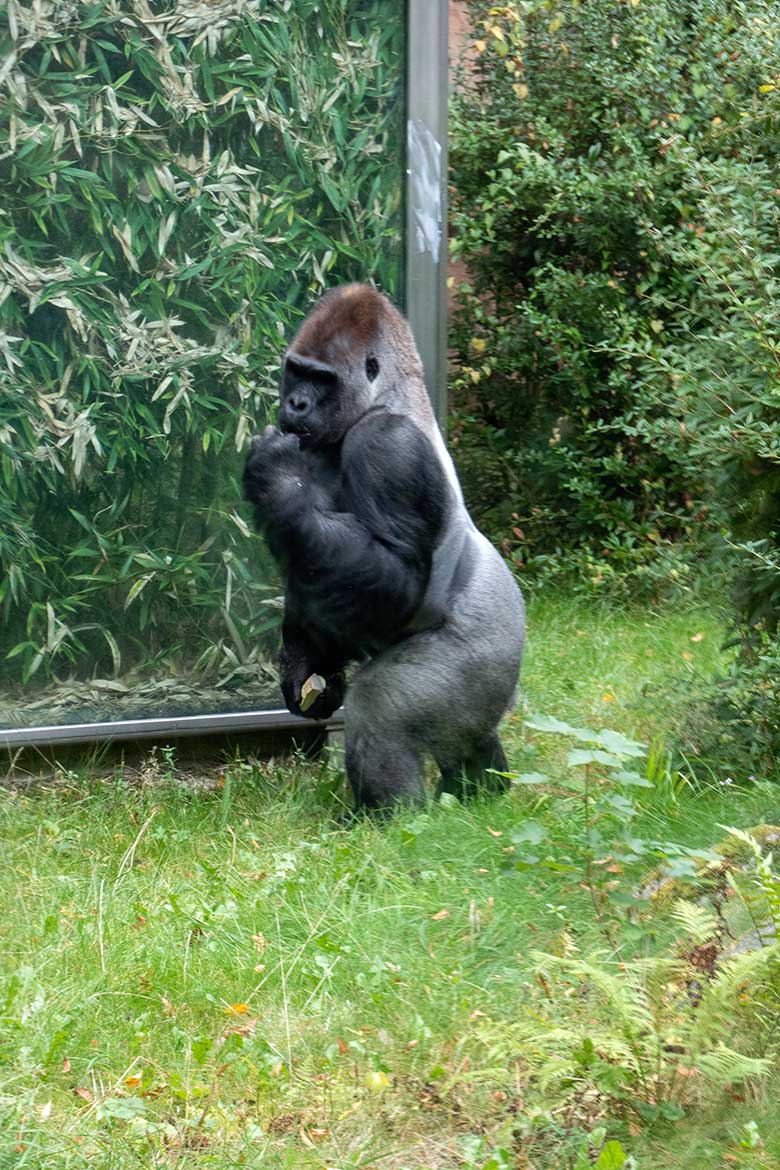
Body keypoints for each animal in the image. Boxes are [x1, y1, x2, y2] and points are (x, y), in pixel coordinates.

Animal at [244, 283, 523, 814]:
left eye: (322, 379)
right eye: (296, 370)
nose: (296, 404)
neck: (384, 398)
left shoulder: (387, 447)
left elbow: (396, 578)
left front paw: (278, 479)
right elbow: (310, 564)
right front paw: (305, 665)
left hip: (487, 655)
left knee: (381, 707)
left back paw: (391, 818)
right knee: (468, 735)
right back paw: (485, 790)